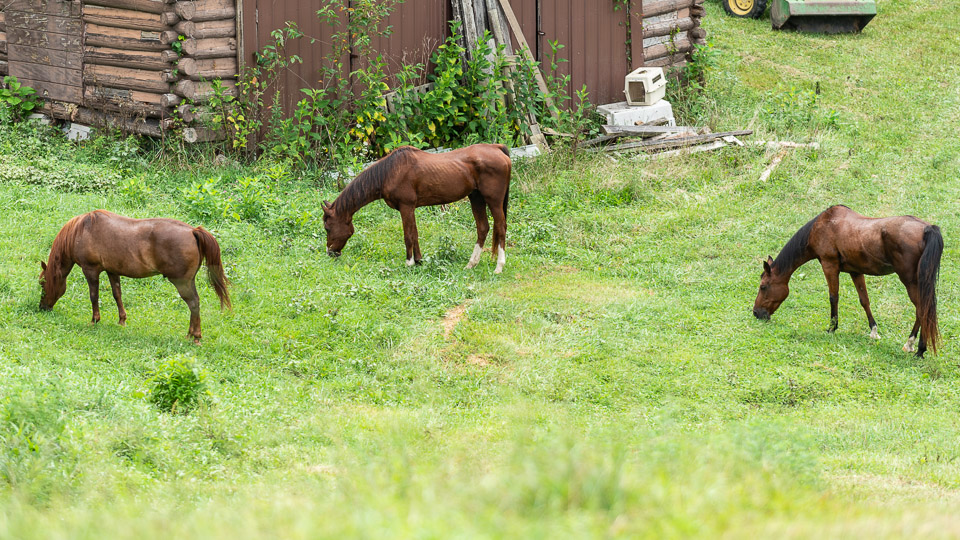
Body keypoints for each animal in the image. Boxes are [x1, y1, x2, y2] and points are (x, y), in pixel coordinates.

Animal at [39, 210, 232, 342]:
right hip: (188, 281)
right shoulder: (112, 271)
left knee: (193, 304)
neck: (82, 230)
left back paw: (196, 336)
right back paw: (190, 334)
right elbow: (117, 295)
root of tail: (193, 231)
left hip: (182, 282)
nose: (42, 307)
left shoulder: (91, 270)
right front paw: (121, 321)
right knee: (195, 303)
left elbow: (94, 296)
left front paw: (94, 320)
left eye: (42, 283)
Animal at [322, 142, 512, 272]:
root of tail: (497, 148)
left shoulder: (406, 207)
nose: (330, 253)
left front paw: (409, 262)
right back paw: (471, 264)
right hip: (476, 198)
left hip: (493, 201)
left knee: (501, 227)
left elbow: (408, 235)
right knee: (483, 228)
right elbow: (415, 234)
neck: (389, 172)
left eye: (327, 227)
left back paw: (499, 266)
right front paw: (419, 260)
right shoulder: (410, 208)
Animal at [752, 205, 940, 356]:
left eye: (763, 287)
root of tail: (927, 229)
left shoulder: (829, 265)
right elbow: (864, 300)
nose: (756, 313)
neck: (822, 226)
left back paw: (917, 347)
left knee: (922, 310)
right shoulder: (855, 272)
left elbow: (833, 297)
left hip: (910, 282)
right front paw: (873, 331)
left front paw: (831, 328)